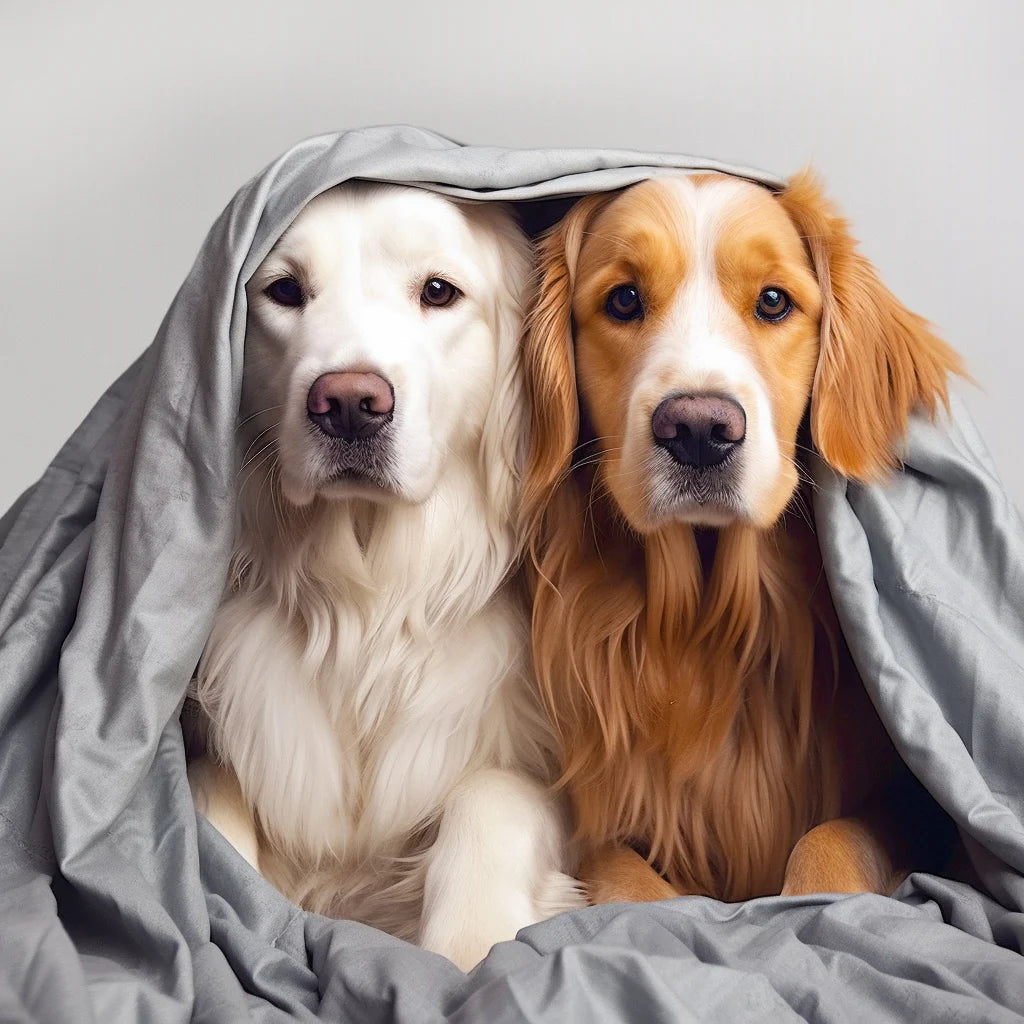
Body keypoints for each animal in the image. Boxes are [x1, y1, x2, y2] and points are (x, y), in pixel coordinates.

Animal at [188, 182, 581, 966]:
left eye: (438, 291)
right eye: (284, 291)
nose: (347, 404)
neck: (369, 603)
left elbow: (488, 796)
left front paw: (469, 945)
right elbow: (216, 813)